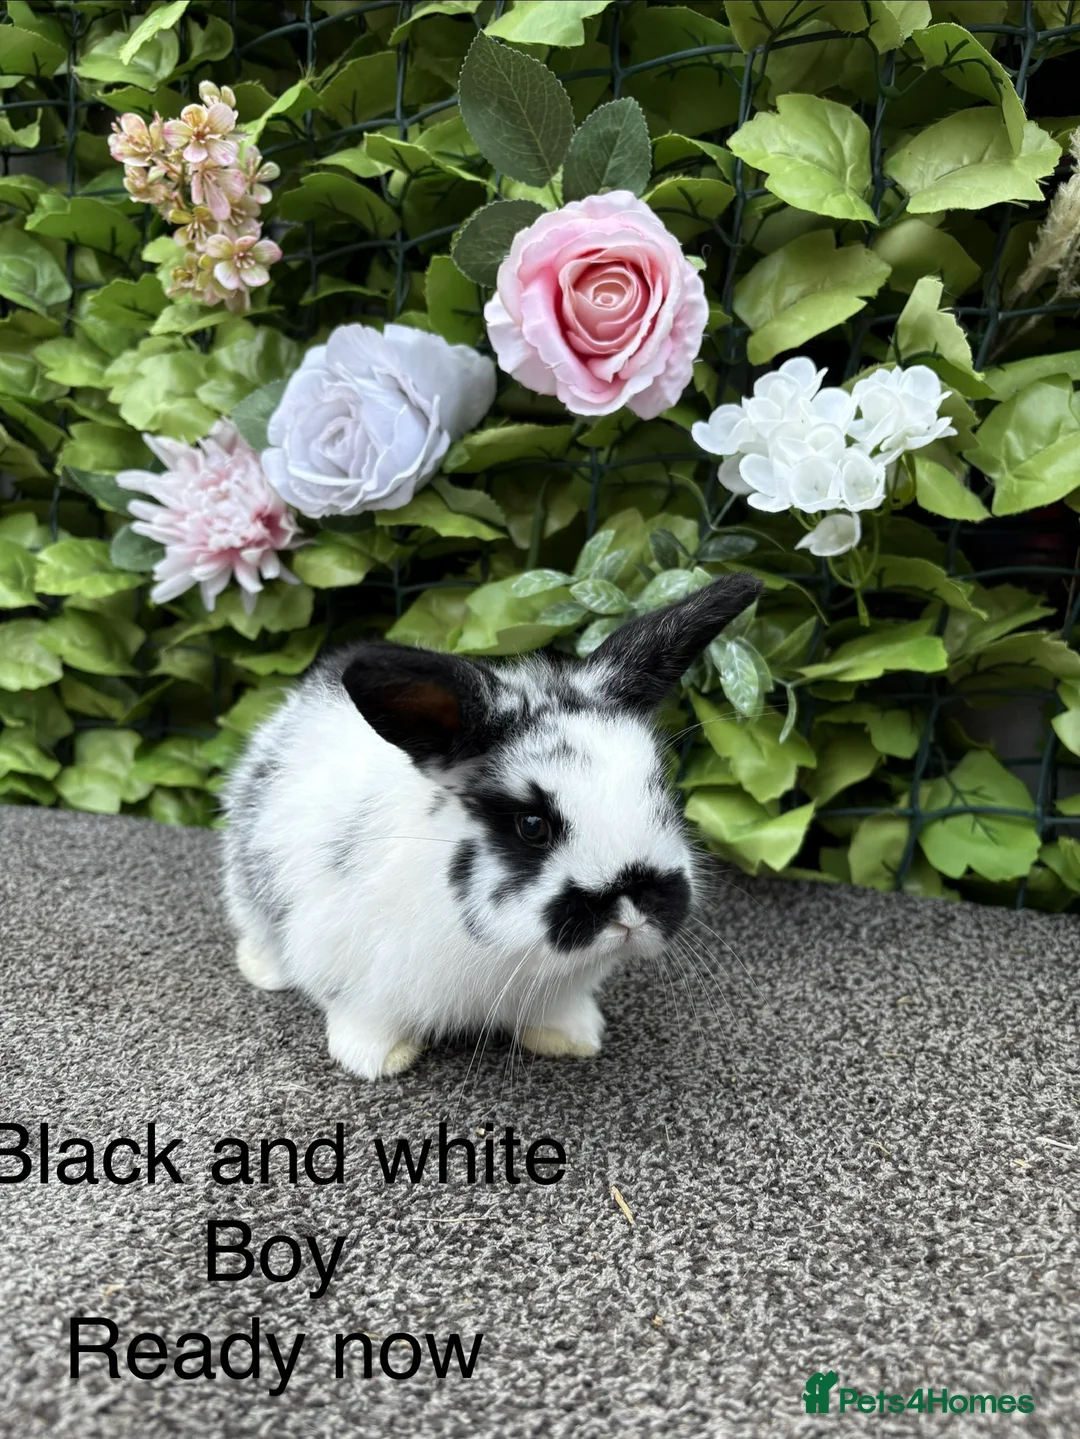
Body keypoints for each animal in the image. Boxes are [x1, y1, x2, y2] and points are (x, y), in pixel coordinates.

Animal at [221, 572, 762, 1080]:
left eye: (660, 791)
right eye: (532, 826)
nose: (631, 909)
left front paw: (574, 1039)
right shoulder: (353, 966)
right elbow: (365, 1018)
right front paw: (378, 1059)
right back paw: (263, 970)